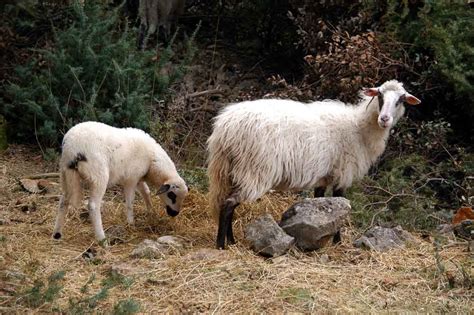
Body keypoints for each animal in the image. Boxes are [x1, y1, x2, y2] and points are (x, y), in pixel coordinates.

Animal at [52, 122, 188, 243]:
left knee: (63, 201)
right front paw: (130, 222)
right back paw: (102, 239)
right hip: (99, 175)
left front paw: (151, 212)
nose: (174, 213)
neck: (152, 160)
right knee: (93, 205)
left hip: (65, 174)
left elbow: (146, 192)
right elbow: (130, 202)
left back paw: (57, 234)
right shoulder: (131, 179)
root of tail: (73, 148)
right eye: (172, 195)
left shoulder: (138, 178)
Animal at [207, 79, 418, 249]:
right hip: (254, 170)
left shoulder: (323, 177)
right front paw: (337, 242)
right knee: (228, 204)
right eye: (380, 96)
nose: (384, 119)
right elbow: (342, 205)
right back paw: (221, 245)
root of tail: (227, 127)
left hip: (229, 169)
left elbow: (323, 202)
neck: (359, 128)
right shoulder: (343, 173)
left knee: (227, 203)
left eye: (401, 99)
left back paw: (231, 241)